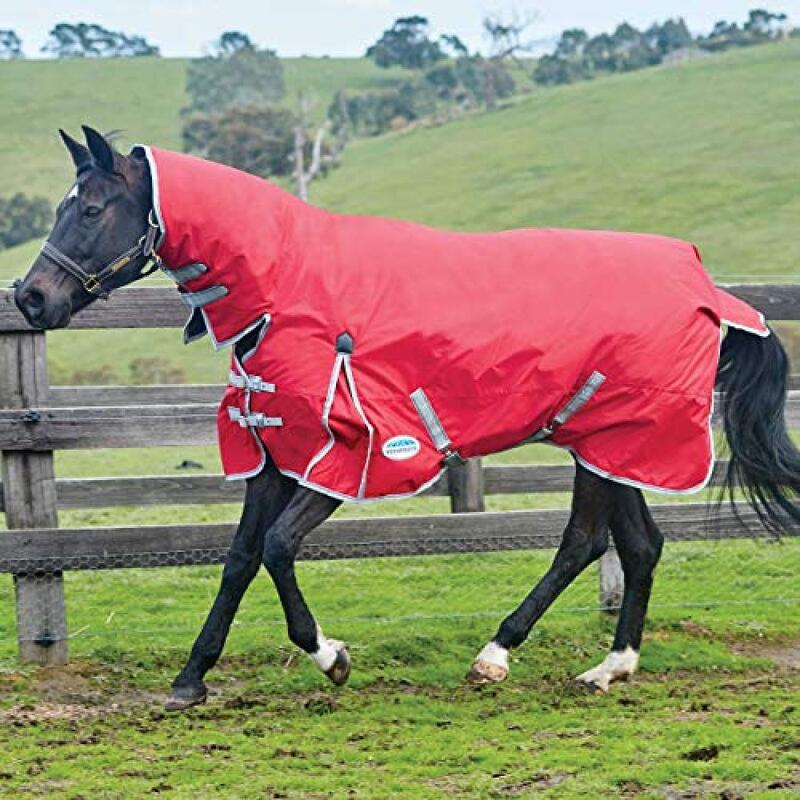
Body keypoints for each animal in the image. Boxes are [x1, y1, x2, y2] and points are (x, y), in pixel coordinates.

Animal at [12, 128, 800, 708]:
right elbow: (239, 558)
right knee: (637, 545)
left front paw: (331, 656)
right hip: (609, 444)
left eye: (89, 209)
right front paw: (189, 679)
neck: (288, 288)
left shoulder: (352, 457)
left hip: (614, 443)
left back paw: (495, 657)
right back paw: (609, 668)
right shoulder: (273, 454)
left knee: (583, 542)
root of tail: (707, 287)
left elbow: (277, 548)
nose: (30, 298)